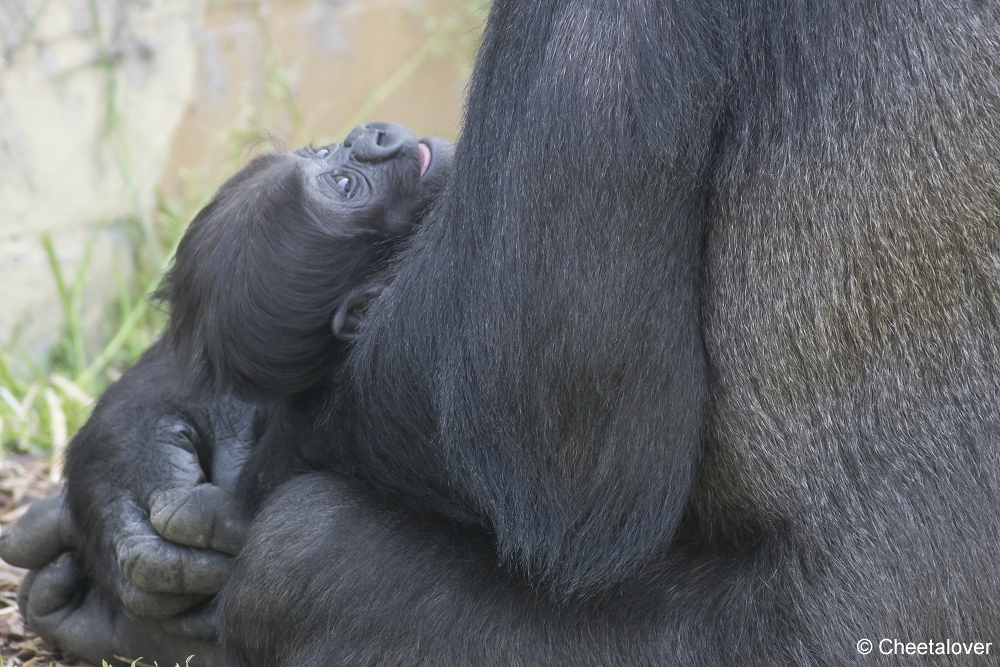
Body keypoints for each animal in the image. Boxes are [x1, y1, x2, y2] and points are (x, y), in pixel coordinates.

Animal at [5, 0, 1000, 664]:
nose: (370, 136)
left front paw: (186, 442)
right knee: (304, 549)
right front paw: (148, 448)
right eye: (341, 185)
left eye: (338, 158)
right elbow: (565, 432)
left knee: (295, 549)